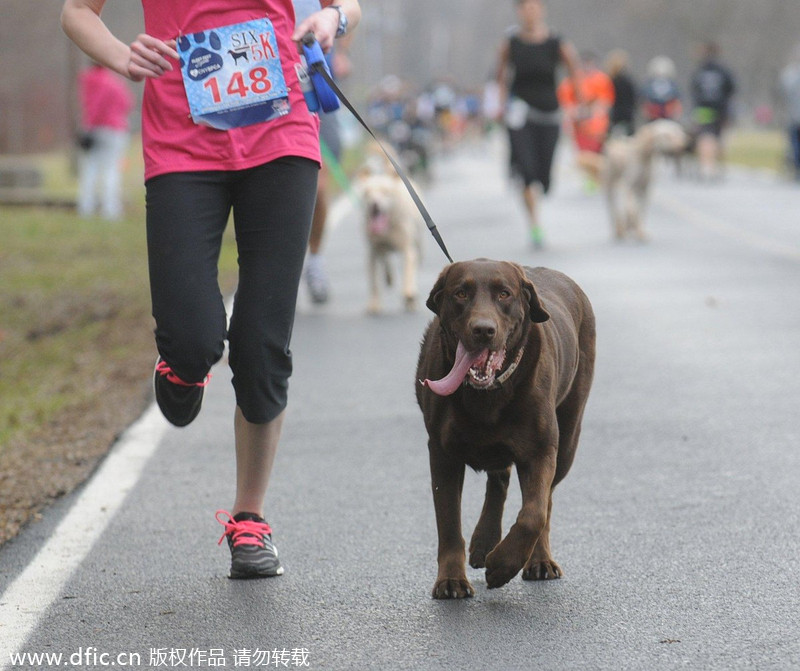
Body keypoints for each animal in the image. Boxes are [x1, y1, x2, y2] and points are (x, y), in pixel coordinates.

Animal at [418, 258, 592, 600]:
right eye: (460, 293)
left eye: (504, 294)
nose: (483, 330)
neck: (487, 394)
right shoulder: (441, 453)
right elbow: (448, 521)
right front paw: (451, 579)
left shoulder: (541, 449)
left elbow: (534, 514)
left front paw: (501, 565)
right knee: (499, 479)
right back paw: (484, 542)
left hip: (568, 440)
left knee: (545, 500)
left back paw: (538, 560)